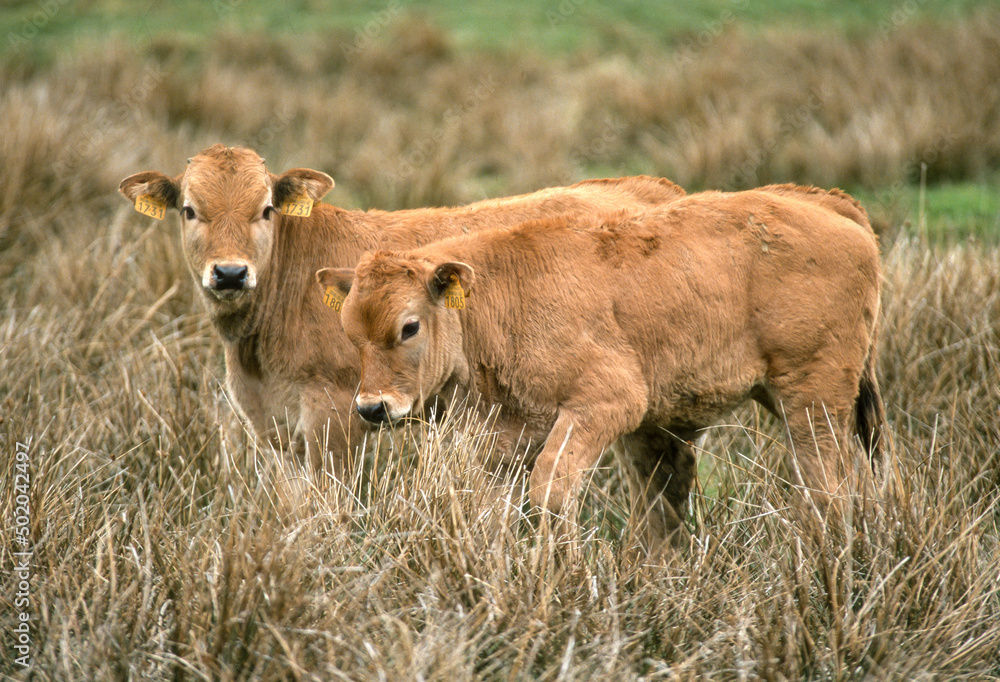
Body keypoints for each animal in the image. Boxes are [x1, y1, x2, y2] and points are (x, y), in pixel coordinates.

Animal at [118, 144, 686, 478]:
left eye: (266, 209)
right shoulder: (273, 427)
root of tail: (648, 185)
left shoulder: (334, 415)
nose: (232, 273)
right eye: (190, 210)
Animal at [319, 184, 885, 551]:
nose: (372, 408)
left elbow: (551, 489)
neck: (498, 299)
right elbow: (492, 509)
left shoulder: (605, 404)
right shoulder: (505, 437)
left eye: (409, 327)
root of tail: (828, 203)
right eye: (348, 332)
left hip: (813, 398)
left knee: (828, 485)